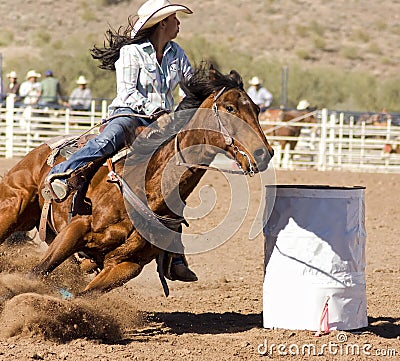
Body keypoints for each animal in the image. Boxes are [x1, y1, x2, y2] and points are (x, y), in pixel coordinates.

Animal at [0, 67, 274, 296]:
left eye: (257, 109)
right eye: (230, 108)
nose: (265, 153)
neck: (145, 190)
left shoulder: (127, 265)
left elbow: (82, 295)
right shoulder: (75, 229)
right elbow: (37, 272)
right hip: (12, 209)